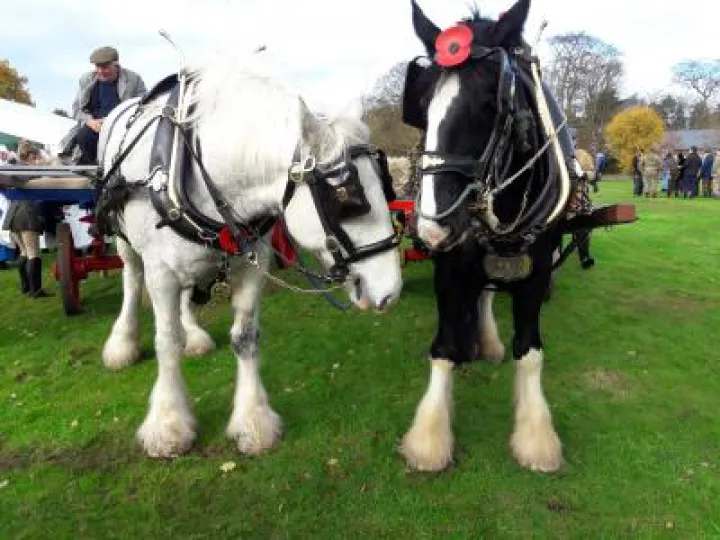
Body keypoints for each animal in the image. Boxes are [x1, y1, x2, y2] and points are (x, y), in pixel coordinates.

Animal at [97, 54, 403, 458]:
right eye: (347, 198)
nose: (391, 291)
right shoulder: (160, 271)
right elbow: (166, 342)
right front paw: (168, 424)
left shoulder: (252, 263)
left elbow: (245, 338)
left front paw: (253, 420)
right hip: (127, 245)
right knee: (131, 280)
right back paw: (123, 342)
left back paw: (193, 334)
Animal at [399, 0, 583, 472]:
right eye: (421, 102)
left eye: (489, 103)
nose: (433, 226)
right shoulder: (449, 265)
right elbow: (445, 346)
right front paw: (430, 437)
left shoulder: (537, 268)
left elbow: (530, 351)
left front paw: (536, 435)